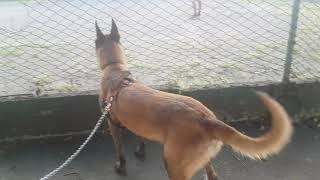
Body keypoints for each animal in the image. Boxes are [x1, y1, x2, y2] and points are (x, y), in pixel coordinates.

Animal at [95, 19, 292, 180]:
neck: (115, 68)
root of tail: (207, 120)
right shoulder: (134, 124)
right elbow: (140, 137)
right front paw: (140, 151)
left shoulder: (112, 125)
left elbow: (120, 151)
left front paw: (121, 166)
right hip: (203, 159)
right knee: (212, 175)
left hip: (173, 165)